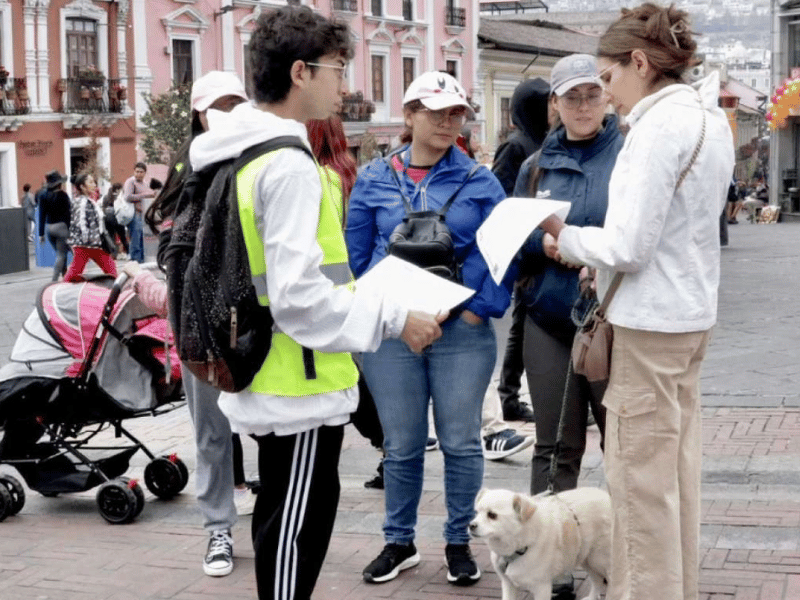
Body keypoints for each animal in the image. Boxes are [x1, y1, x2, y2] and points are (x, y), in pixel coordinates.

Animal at [472, 488, 608, 600]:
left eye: (492, 515)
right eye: (477, 512)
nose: (471, 526)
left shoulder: (541, 588)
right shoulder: (508, 584)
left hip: (600, 561)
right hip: (588, 559)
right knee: (597, 580)